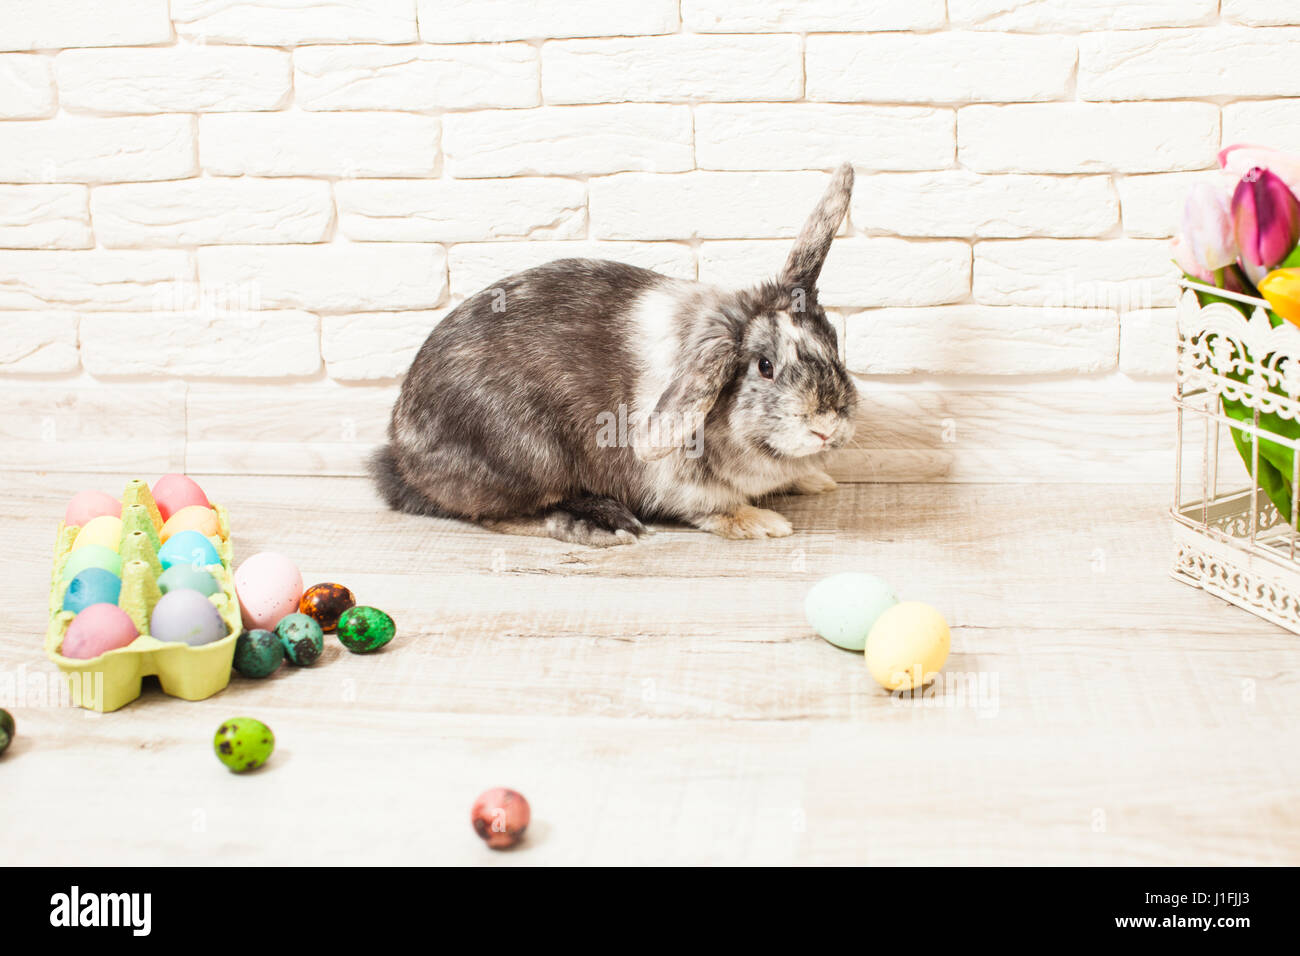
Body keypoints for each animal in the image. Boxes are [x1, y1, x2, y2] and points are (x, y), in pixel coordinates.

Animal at [371, 162, 859, 546]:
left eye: (834, 343)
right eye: (765, 366)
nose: (826, 425)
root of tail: (400, 457)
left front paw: (815, 480)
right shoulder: (683, 485)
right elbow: (714, 510)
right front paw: (761, 522)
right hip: (530, 458)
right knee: (501, 515)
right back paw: (601, 525)